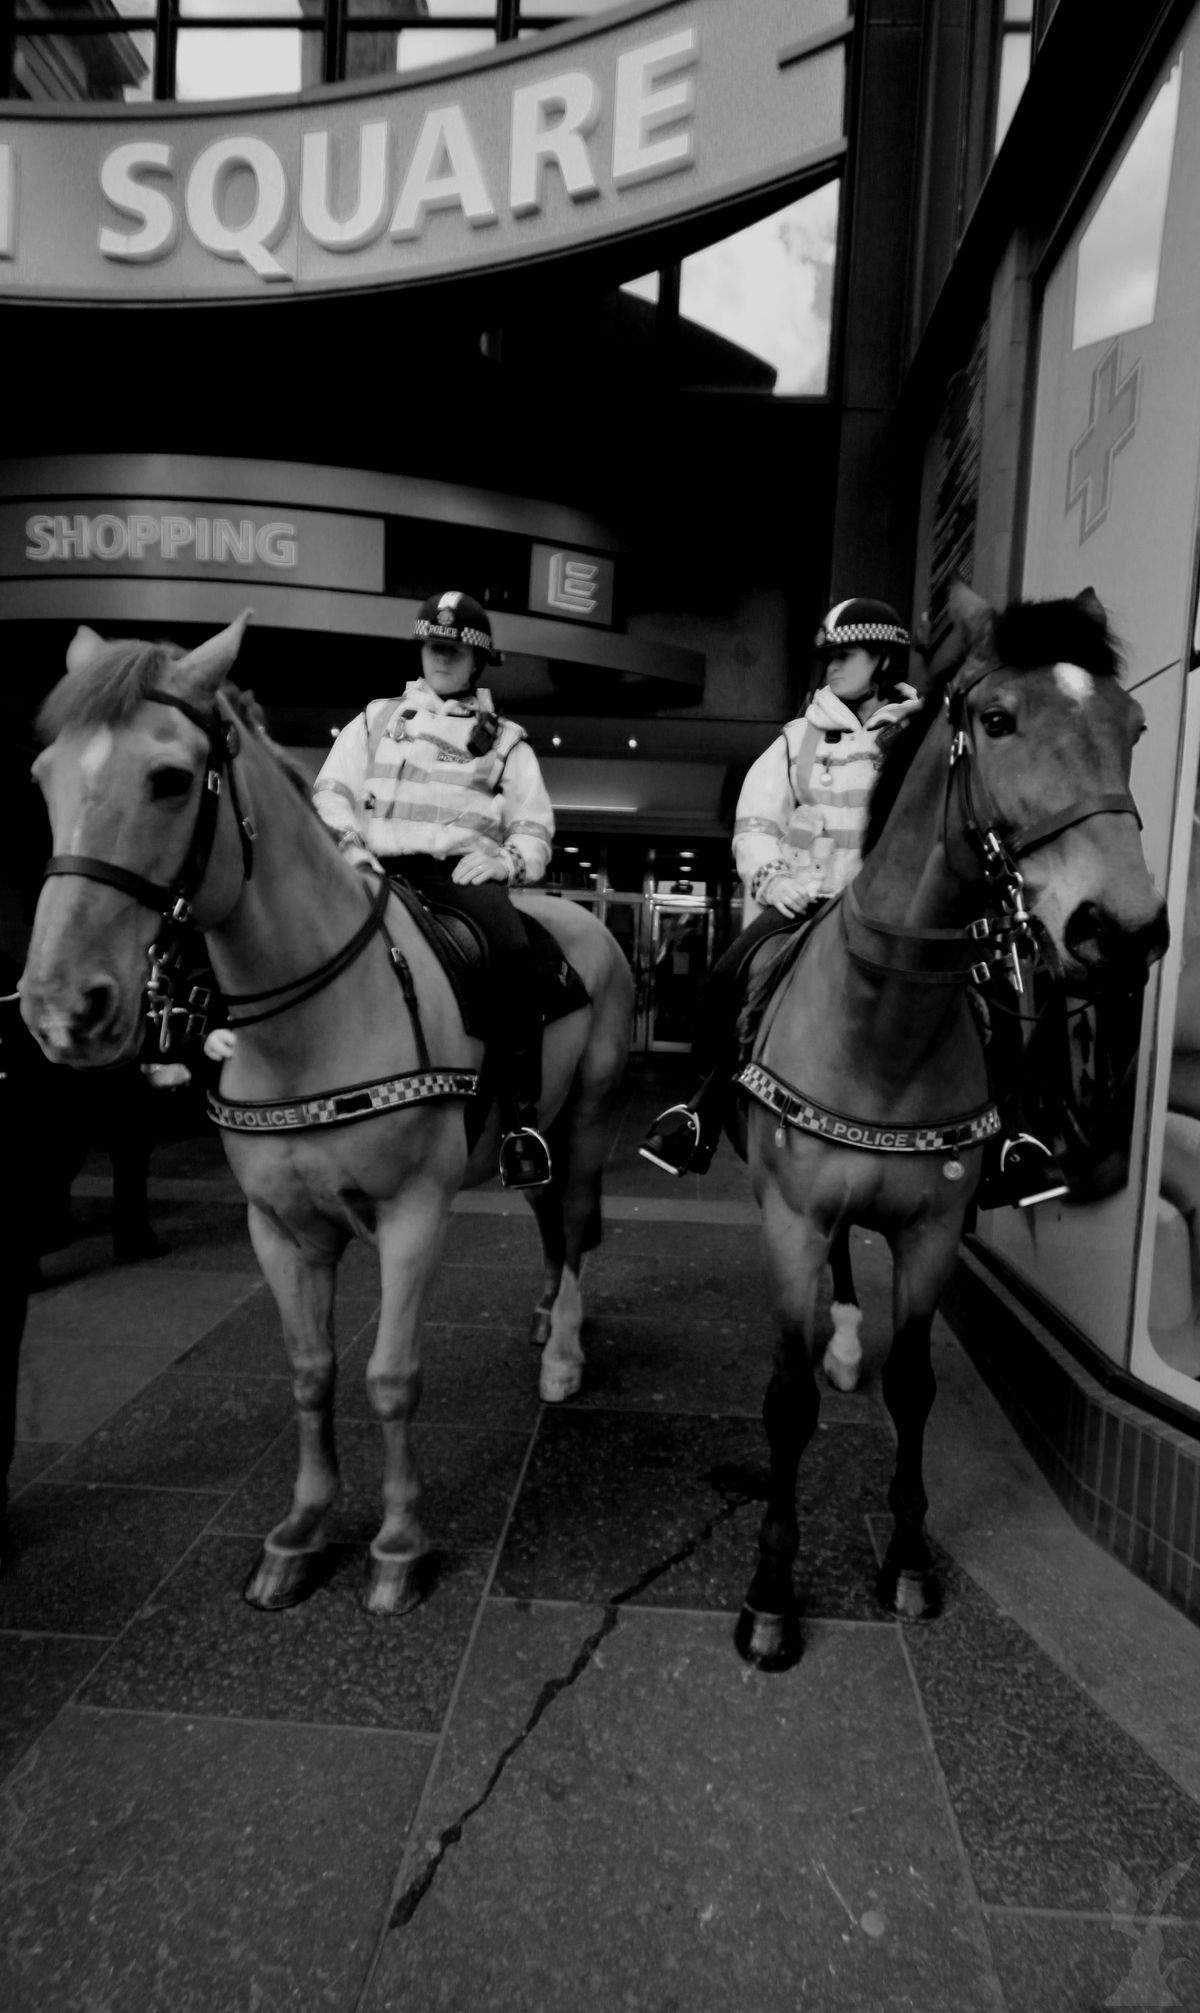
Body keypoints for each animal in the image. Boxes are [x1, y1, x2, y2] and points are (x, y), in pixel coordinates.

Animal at [21, 611, 636, 1618]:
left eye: (169, 779)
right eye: (45, 776)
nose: (61, 1008)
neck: (313, 1018)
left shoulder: (412, 1214)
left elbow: (390, 1377)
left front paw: (398, 1543)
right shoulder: (280, 1227)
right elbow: (312, 1374)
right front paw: (302, 1530)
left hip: (585, 1119)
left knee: (576, 1219)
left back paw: (565, 1354)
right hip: (535, 1132)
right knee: (549, 1220)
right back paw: (548, 1319)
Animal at [736, 587, 1167, 1674]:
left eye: (1135, 726)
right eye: (999, 719)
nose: (1124, 928)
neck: (883, 1024)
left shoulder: (932, 1233)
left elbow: (916, 1384)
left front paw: (908, 1558)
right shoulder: (791, 1222)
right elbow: (787, 1399)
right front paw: (770, 1597)